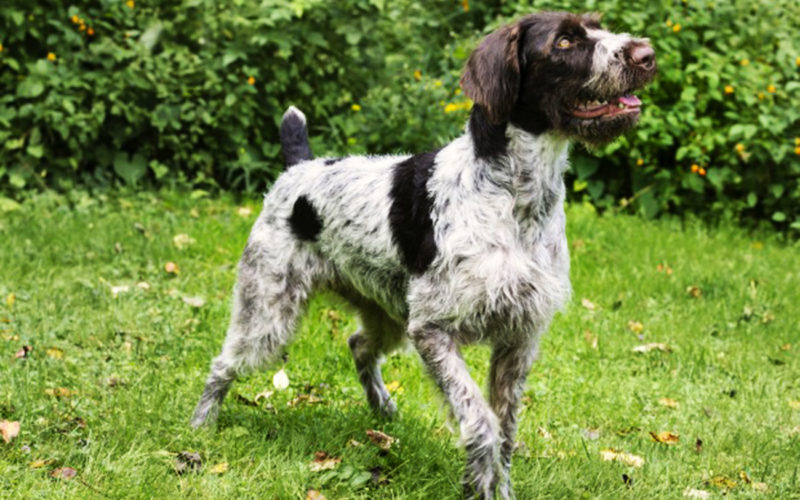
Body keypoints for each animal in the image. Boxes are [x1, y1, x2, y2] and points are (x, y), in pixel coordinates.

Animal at [194, 9, 656, 498]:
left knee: (359, 344)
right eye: (565, 42)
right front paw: (477, 477)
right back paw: (201, 427)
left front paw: (499, 488)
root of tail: (299, 168)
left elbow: (506, 431)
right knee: (223, 364)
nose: (647, 55)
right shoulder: (433, 332)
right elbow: (481, 421)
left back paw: (382, 408)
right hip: (269, 313)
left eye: (597, 25)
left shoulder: (518, 337)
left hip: (387, 315)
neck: (515, 199)